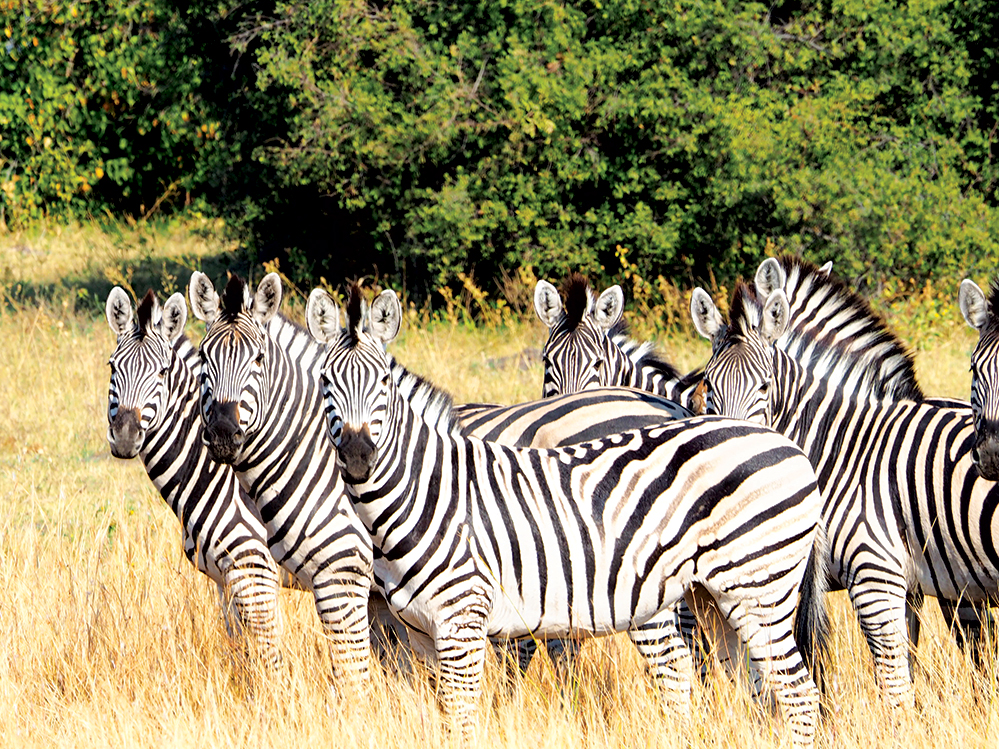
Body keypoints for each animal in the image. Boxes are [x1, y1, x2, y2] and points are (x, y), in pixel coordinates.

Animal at [105, 284, 284, 668]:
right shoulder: (223, 578)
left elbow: (268, 654)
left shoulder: (255, 570)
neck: (213, 474)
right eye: (112, 367)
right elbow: (239, 648)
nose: (125, 435)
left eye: (161, 373)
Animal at [304, 284, 828, 744]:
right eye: (325, 381)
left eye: (385, 383)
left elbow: (462, 721)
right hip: (714, 598)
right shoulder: (418, 634)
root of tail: (787, 444)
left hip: (760, 589)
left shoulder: (463, 623)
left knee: (799, 695)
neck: (424, 493)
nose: (357, 457)